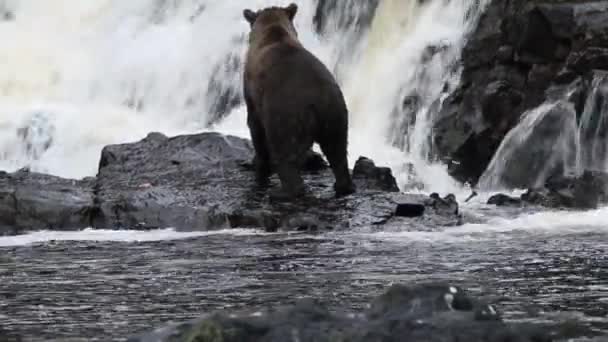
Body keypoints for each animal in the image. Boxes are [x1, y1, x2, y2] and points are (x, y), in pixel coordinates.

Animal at [242, 2, 356, 199]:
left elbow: (255, 126)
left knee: (283, 151)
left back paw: (282, 192)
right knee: (338, 151)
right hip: (336, 114)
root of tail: (317, 100)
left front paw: (257, 162)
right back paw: (343, 186)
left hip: (285, 114)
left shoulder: (253, 90)